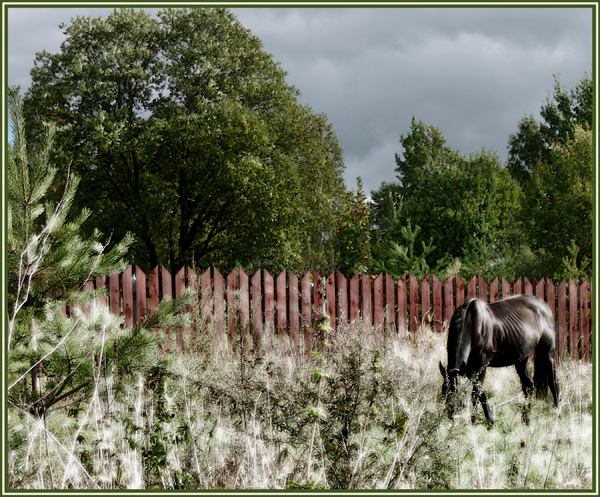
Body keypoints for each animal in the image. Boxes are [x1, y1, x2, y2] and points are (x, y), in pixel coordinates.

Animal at [438, 294, 560, 426]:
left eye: (459, 395)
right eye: (444, 392)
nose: (452, 418)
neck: (473, 324)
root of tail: (544, 305)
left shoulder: (481, 364)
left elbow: (477, 391)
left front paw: (484, 421)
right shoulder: (470, 369)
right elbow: (479, 392)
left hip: (548, 354)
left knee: (554, 384)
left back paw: (558, 416)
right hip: (521, 359)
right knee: (528, 385)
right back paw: (526, 420)